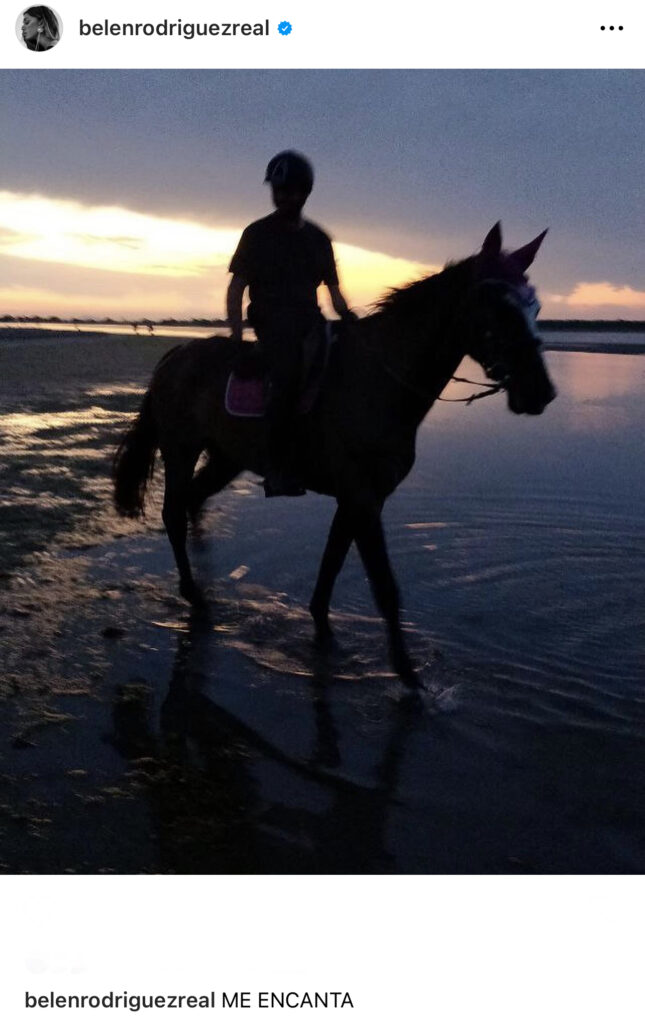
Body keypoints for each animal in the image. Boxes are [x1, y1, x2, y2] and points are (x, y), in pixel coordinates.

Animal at [113, 224, 556, 688]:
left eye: (535, 306)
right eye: (498, 305)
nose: (540, 391)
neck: (379, 381)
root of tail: (175, 355)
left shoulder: (357, 498)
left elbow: (331, 565)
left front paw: (324, 633)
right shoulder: (362, 498)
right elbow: (384, 586)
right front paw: (408, 675)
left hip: (225, 457)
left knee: (195, 501)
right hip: (181, 448)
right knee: (174, 513)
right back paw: (193, 593)